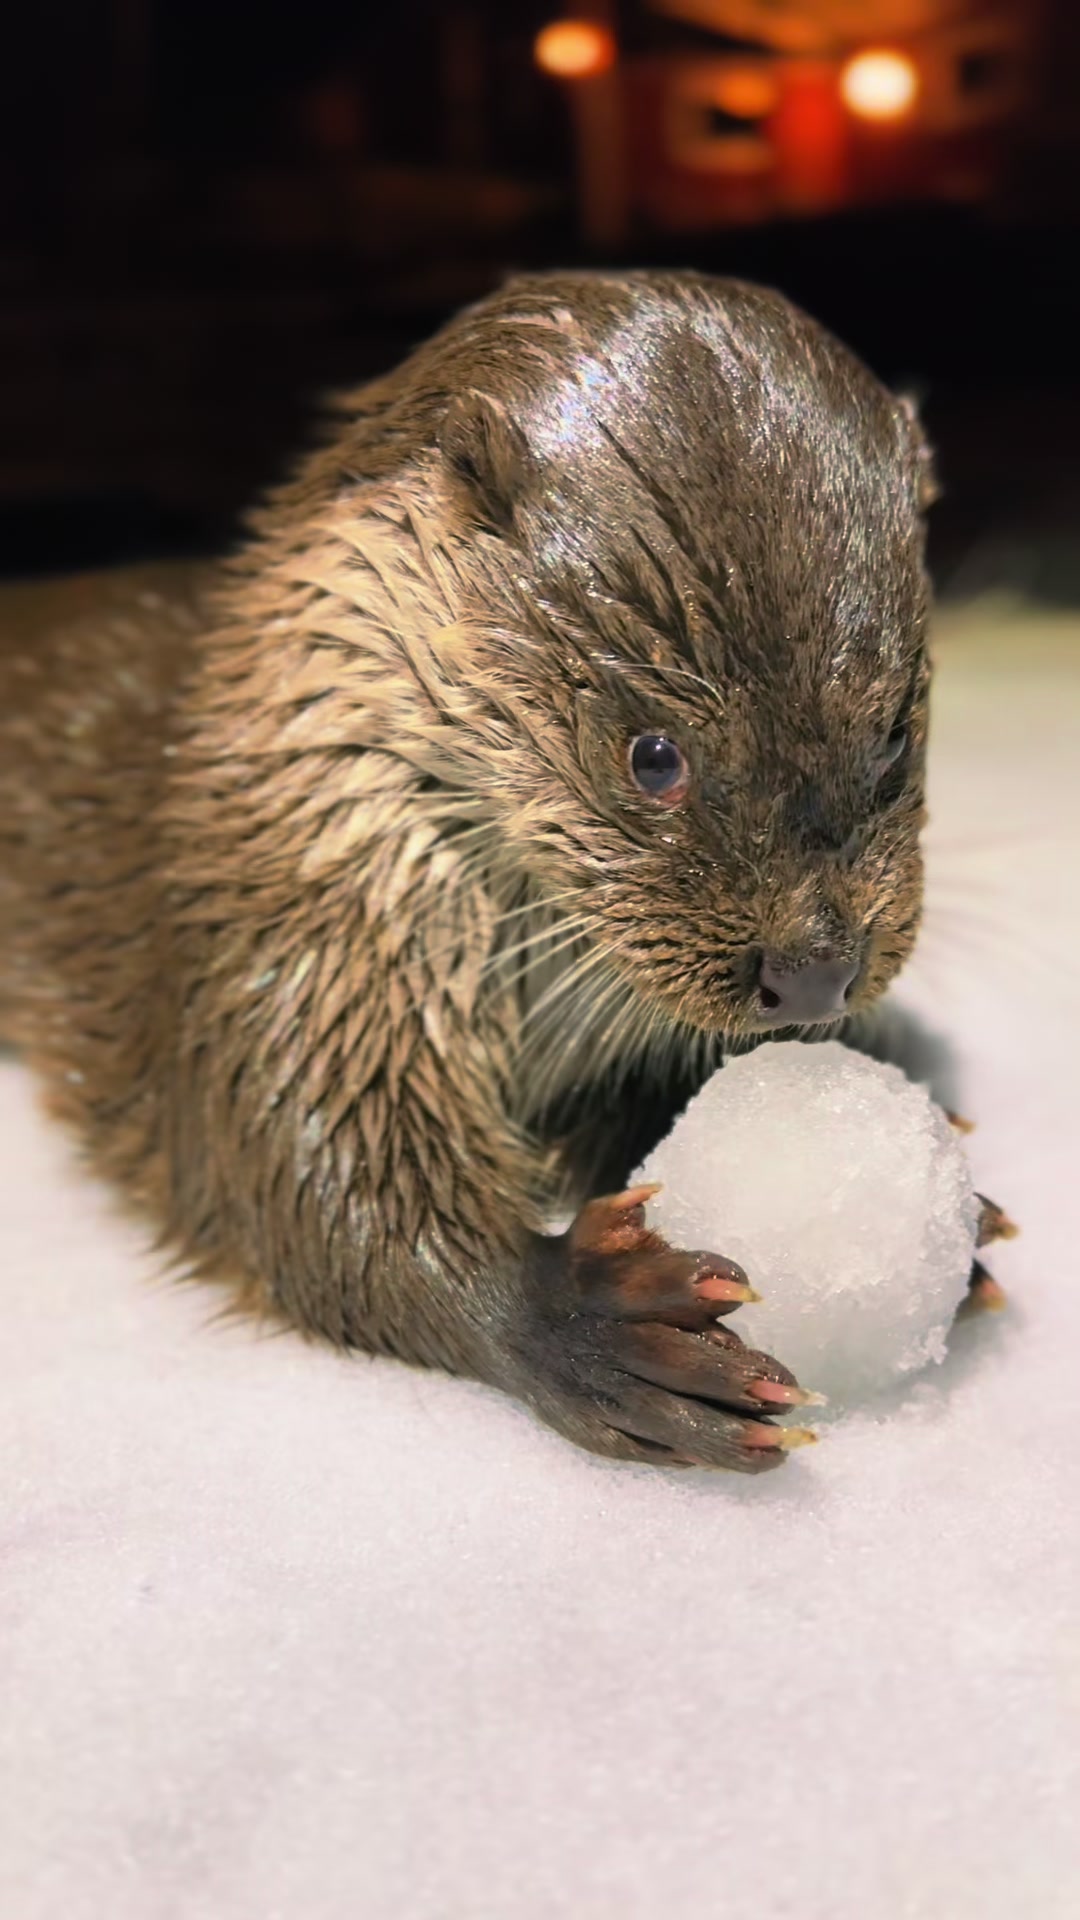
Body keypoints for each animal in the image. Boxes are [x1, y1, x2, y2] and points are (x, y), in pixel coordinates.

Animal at [0, 271, 1000, 1471]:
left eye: (894, 738)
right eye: (653, 755)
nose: (813, 971)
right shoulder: (283, 954)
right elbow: (297, 1172)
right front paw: (581, 1315)